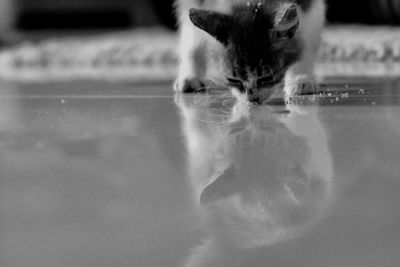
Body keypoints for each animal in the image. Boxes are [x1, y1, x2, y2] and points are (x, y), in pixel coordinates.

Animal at [173, 0, 324, 103]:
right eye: (233, 79)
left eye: (267, 78)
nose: (251, 99)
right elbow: (192, 40)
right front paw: (190, 75)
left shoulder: (311, 7)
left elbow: (307, 39)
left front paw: (300, 78)